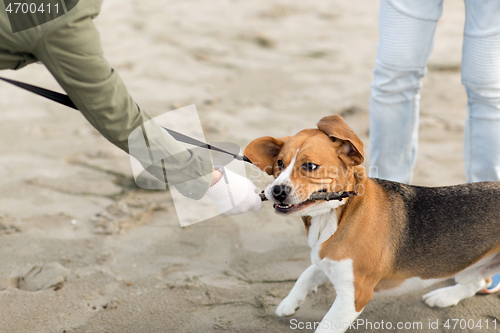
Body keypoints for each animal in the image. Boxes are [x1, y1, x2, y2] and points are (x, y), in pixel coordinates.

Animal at [244, 115, 500, 332]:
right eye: (279, 163)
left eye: (310, 166)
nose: (277, 190)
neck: (338, 214)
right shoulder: (326, 259)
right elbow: (307, 273)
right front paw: (289, 302)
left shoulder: (354, 296)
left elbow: (325, 325)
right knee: (478, 281)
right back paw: (445, 296)